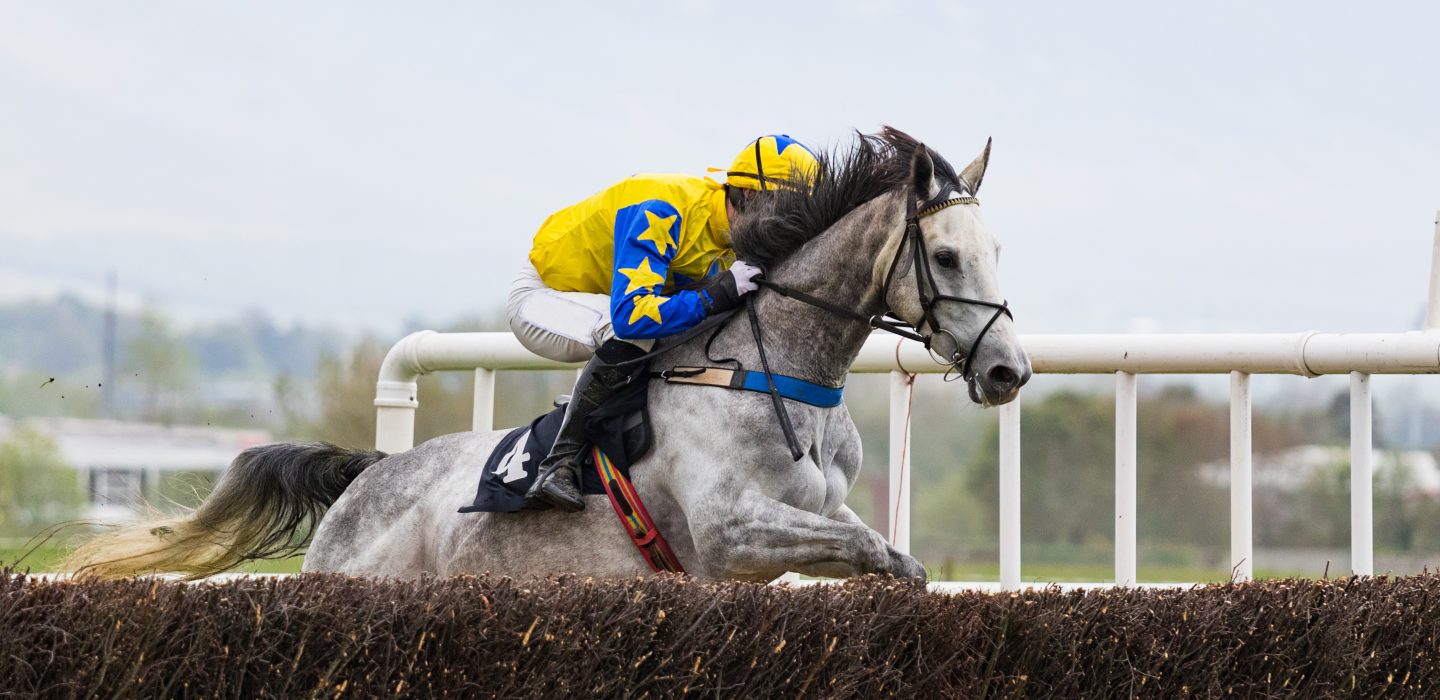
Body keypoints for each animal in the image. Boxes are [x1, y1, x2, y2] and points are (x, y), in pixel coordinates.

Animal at [64, 128, 1031, 582]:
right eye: (947, 257)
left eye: (997, 250)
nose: (1007, 371)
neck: (775, 372)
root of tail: (368, 473)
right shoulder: (728, 532)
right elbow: (871, 548)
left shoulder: (808, 519)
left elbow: (878, 547)